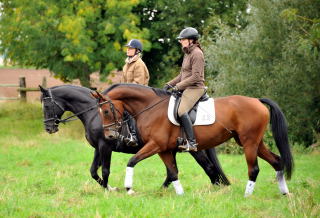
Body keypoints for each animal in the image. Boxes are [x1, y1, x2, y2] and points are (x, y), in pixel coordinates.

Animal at [39, 84, 230, 192]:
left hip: (192, 150)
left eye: (46, 105)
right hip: (170, 149)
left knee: (208, 167)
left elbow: (105, 170)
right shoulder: (98, 148)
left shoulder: (105, 146)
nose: (48, 128)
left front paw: (109, 190)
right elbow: (93, 171)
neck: (93, 113)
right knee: (173, 172)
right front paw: (110, 187)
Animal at [92, 83, 292, 196]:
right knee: (276, 161)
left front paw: (129, 188)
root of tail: (257, 101)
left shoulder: (155, 145)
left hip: (249, 143)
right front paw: (180, 194)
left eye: (107, 111)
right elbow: (173, 172)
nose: (109, 136)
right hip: (253, 142)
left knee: (254, 168)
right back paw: (284, 193)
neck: (150, 107)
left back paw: (247, 195)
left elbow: (132, 161)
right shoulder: (164, 149)